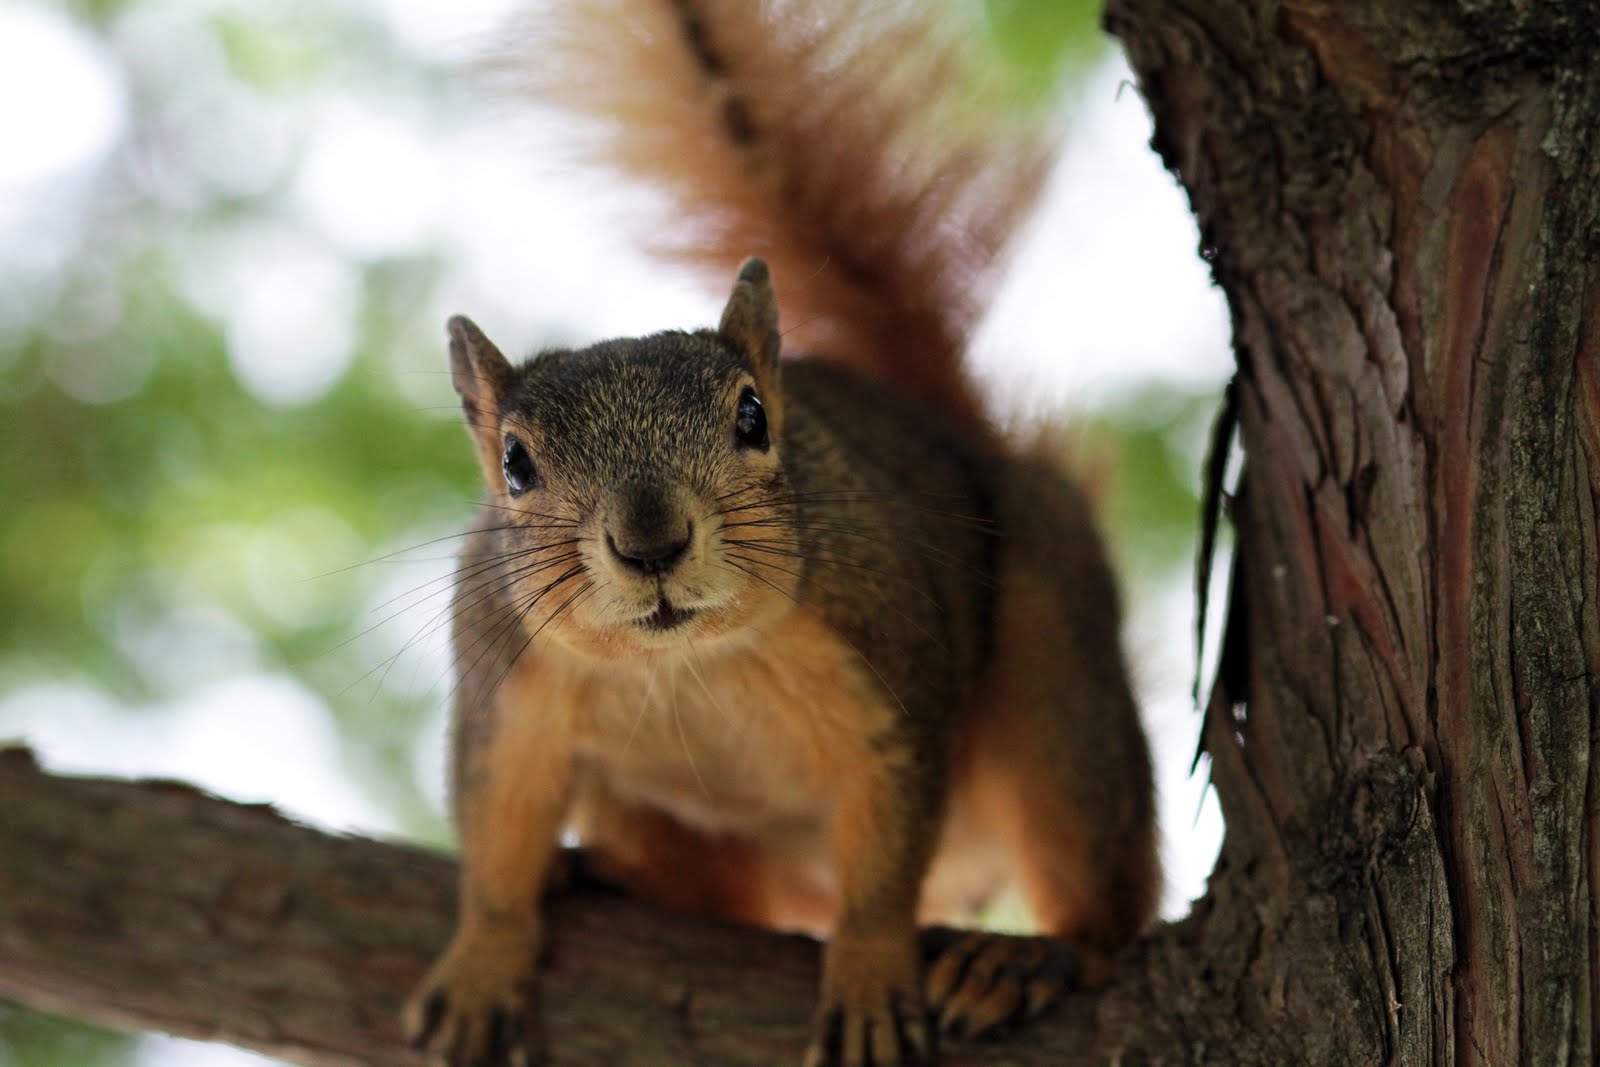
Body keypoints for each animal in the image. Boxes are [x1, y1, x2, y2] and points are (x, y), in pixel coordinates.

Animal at [402, 1, 1159, 1065]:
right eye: (514, 463)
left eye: (754, 417)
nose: (651, 544)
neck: (686, 662)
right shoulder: (506, 690)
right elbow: (495, 828)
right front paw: (484, 956)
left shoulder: (889, 669)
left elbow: (884, 848)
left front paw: (872, 978)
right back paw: (597, 871)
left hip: (1059, 662)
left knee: (1099, 868)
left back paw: (1028, 957)